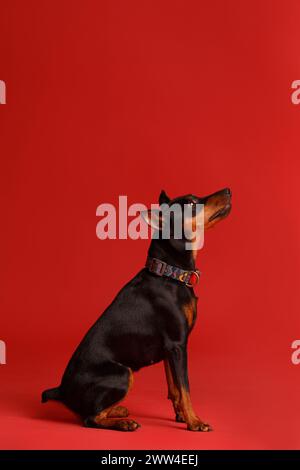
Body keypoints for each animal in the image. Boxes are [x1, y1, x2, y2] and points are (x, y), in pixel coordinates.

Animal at [42, 189, 231, 432]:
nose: (228, 190)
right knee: (89, 418)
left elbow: (174, 389)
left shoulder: (169, 350)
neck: (169, 273)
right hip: (123, 373)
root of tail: (62, 391)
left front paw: (181, 415)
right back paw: (124, 423)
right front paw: (195, 422)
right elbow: (185, 389)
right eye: (190, 203)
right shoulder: (178, 345)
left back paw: (118, 410)